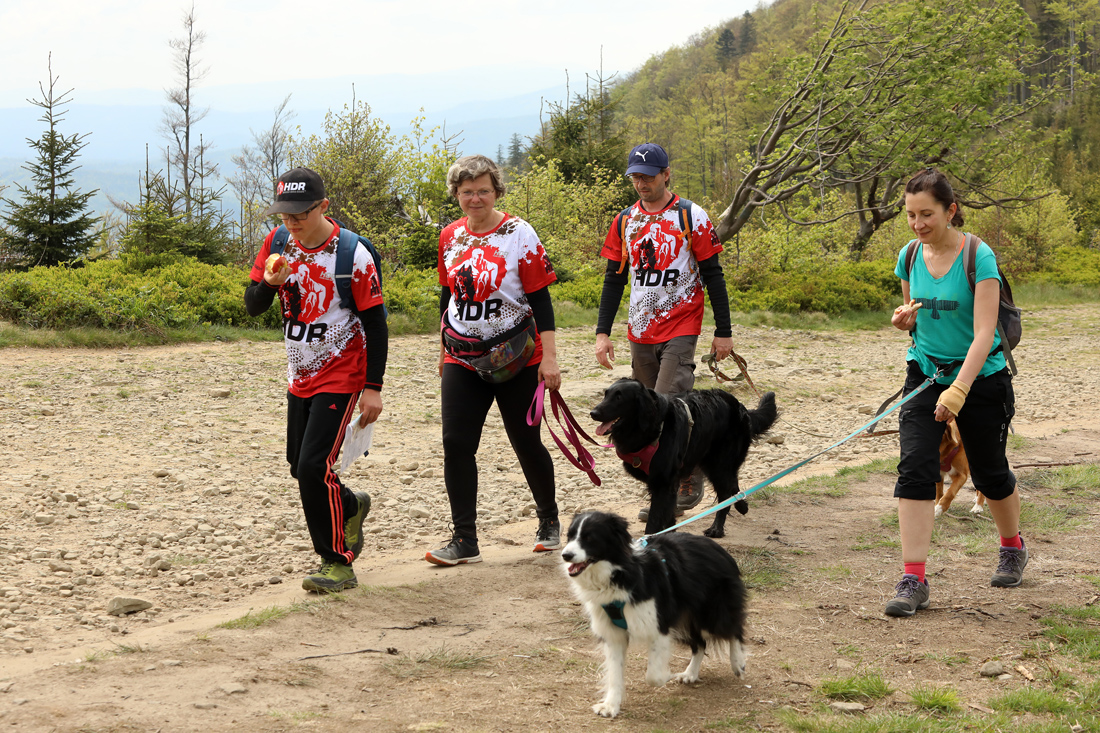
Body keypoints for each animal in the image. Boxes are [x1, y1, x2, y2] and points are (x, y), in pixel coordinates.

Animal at [561, 511, 748, 719]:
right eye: (569, 536)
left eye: (589, 538)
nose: (565, 555)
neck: (619, 574)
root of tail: (721, 550)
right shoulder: (613, 634)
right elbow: (615, 673)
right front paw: (610, 706)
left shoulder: (658, 626)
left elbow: (653, 676)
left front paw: (665, 675)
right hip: (686, 619)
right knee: (700, 643)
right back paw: (690, 674)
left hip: (710, 613)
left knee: (734, 630)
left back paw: (738, 663)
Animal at [589, 378, 777, 537]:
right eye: (606, 394)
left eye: (619, 397)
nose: (593, 412)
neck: (651, 429)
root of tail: (741, 407)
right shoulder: (665, 483)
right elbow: (668, 517)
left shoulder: (663, 483)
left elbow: (655, 521)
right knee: (732, 484)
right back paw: (741, 505)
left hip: (719, 464)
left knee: (726, 491)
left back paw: (717, 528)